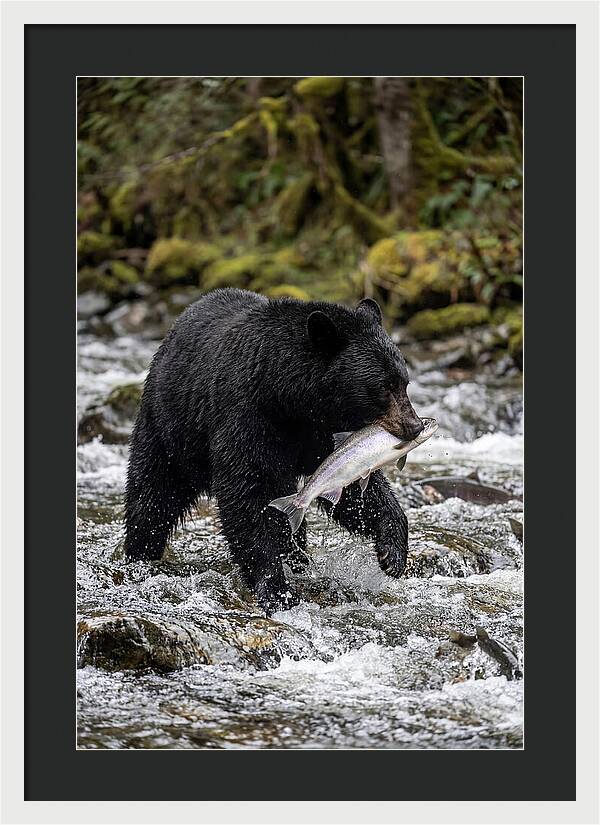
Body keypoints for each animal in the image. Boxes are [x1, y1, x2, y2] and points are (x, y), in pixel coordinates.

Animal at [124, 288, 423, 613]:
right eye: (382, 387)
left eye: (404, 382)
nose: (415, 426)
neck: (290, 398)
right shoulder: (248, 415)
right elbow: (246, 493)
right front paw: (276, 589)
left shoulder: (323, 433)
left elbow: (352, 485)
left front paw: (392, 553)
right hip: (170, 428)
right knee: (152, 494)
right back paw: (140, 554)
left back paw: (298, 558)